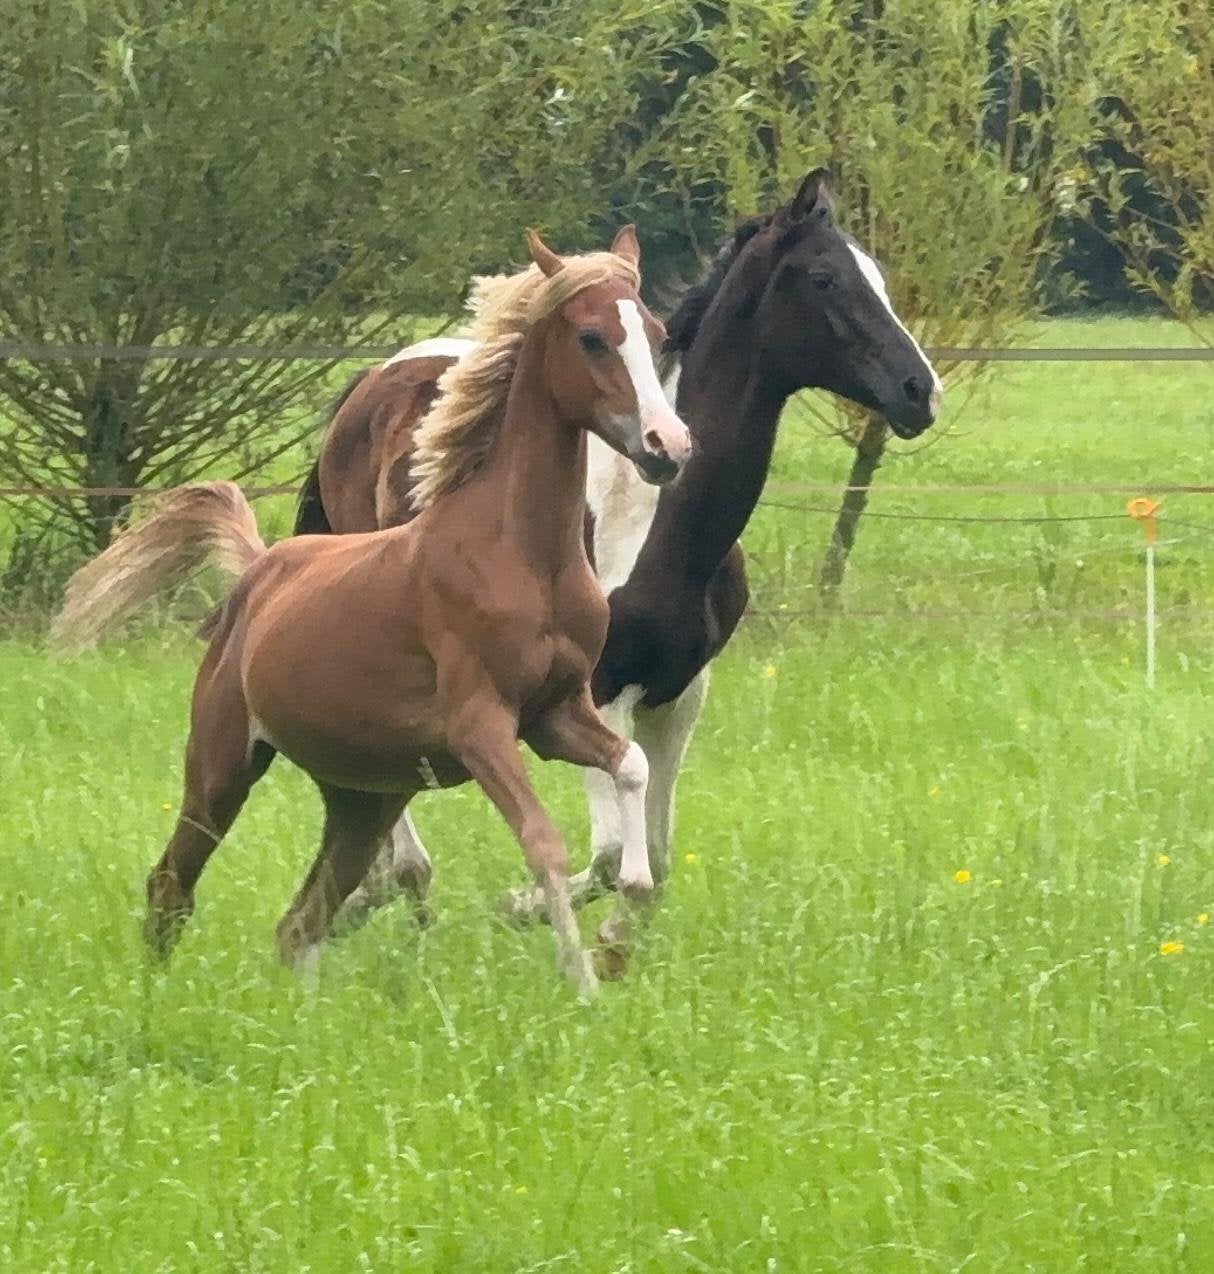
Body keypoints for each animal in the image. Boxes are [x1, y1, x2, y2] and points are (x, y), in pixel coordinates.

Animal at [51, 228, 691, 996]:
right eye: (593, 337)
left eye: (655, 333)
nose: (667, 448)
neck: (520, 555)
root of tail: (260, 570)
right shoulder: (481, 726)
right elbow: (543, 840)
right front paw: (585, 982)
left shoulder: (557, 715)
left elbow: (631, 770)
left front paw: (622, 923)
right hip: (221, 764)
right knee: (172, 882)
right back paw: (156, 997)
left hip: (362, 798)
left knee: (300, 923)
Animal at [288, 167, 942, 926]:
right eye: (825, 278)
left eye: (879, 277)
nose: (920, 391)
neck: (663, 526)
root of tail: (369, 383)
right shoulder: (596, 691)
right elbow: (605, 857)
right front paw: (524, 904)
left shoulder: (678, 694)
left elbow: (653, 857)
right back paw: (393, 880)